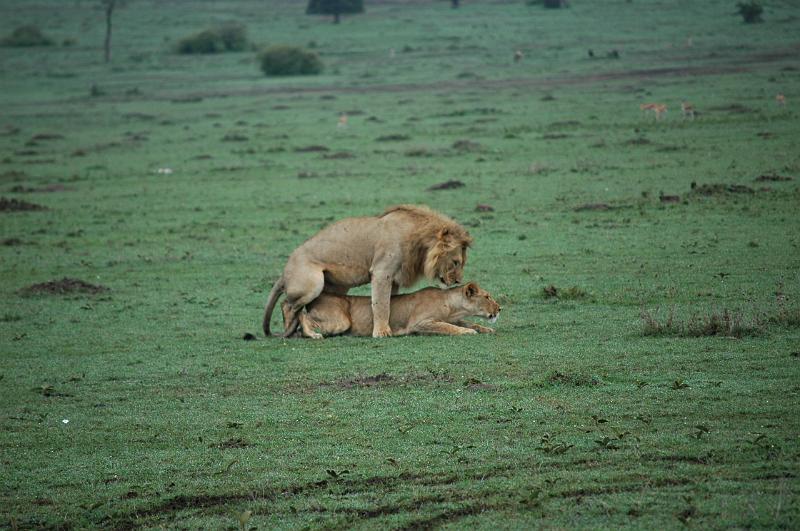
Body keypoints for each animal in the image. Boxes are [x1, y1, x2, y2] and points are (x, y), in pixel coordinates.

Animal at [263, 205, 472, 338]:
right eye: (455, 262)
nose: (458, 281)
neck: (419, 241)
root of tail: (286, 268)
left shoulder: (394, 278)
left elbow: (390, 303)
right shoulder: (381, 271)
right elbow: (381, 304)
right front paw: (382, 333)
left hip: (335, 286)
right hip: (313, 283)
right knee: (286, 305)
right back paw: (292, 331)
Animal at [297, 282, 500, 338]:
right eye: (488, 296)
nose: (500, 308)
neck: (452, 305)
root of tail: (320, 295)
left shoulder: (454, 317)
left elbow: (468, 322)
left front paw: (486, 328)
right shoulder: (420, 323)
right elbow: (447, 327)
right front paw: (467, 331)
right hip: (341, 321)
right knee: (303, 315)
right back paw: (312, 334)